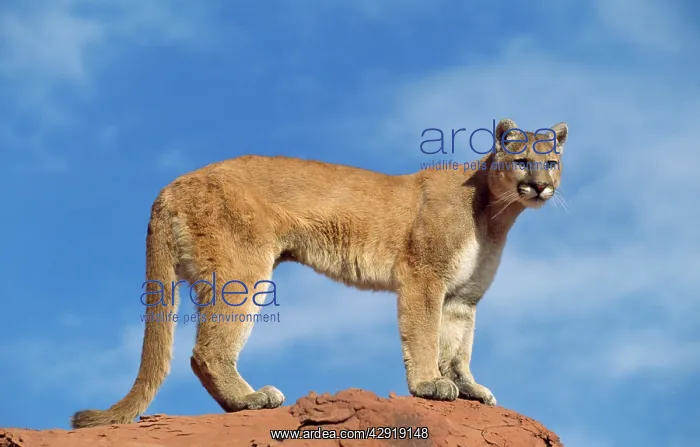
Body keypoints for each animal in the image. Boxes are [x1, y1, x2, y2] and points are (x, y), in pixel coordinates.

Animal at [71, 118, 568, 428]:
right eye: (522, 161)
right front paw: (429, 385)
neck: (495, 212)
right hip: (240, 273)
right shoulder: (423, 277)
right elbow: (425, 336)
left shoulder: (463, 297)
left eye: (552, 162)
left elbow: (458, 348)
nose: (540, 186)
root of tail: (170, 186)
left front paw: (467, 388)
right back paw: (250, 399)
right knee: (206, 351)